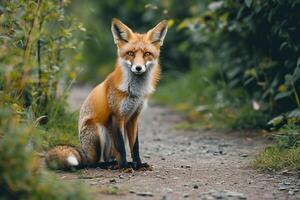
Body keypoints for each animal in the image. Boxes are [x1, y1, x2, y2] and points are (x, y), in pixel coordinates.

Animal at [46, 18, 169, 171]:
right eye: (131, 53)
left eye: (147, 54)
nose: (138, 68)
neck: (135, 92)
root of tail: (85, 153)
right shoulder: (117, 116)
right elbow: (122, 148)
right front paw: (125, 167)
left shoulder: (134, 117)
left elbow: (135, 147)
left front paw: (138, 165)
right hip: (99, 130)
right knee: (95, 163)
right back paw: (110, 165)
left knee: (109, 157)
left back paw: (117, 164)